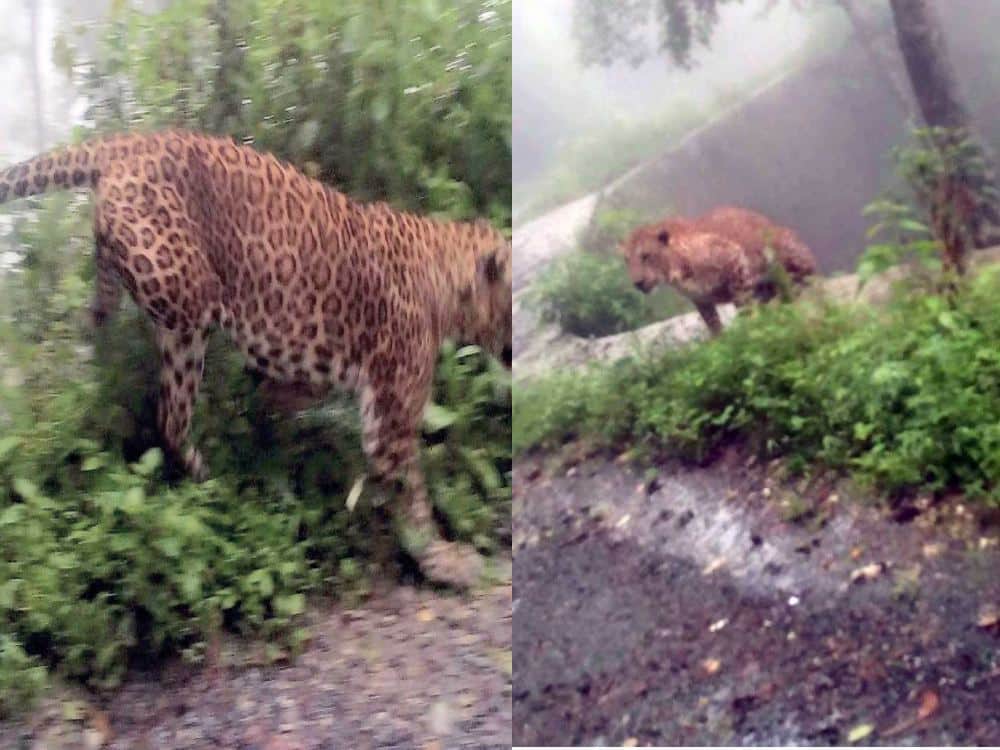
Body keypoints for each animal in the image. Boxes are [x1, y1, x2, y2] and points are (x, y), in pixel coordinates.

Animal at [0, 129, 512, 589]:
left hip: (173, 331)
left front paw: (274, 410)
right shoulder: (392, 418)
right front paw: (443, 560)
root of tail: (130, 140)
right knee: (183, 344)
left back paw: (207, 477)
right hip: (189, 294)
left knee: (166, 412)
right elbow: (412, 494)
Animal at [621, 205, 817, 335]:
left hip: (781, 244)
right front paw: (720, 342)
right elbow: (712, 324)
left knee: (806, 280)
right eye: (627, 261)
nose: (637, 283)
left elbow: (743, 303)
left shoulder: (734, 257)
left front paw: (751, 327)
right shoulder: (700, 299)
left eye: (646, 256)